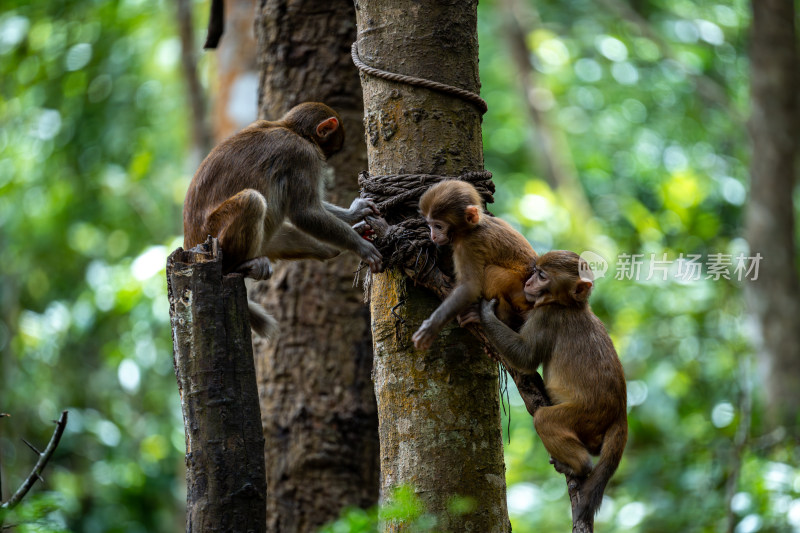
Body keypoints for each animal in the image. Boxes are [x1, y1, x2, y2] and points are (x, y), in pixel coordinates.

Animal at [183, 102, 382, 336]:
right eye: (330, 150)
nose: (327, 158)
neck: (291, 129)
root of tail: (190, 243)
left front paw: (356, 214)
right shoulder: (303, 155)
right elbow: (305, 213)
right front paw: (361, 247)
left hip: (267, 242)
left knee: (320, 248)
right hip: (215, 234)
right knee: (252, 200)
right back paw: (239, 266)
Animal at [412, 181, 536, 352]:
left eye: (438, 226)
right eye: (430, 225)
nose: (433, 236)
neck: (473, 228)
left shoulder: (468, 244)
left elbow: (469, 287)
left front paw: (432, 326)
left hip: (521, 292)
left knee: (491, 273)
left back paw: (501, 318)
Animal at [478, 251, 628, 520]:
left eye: (542, 276)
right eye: (535, 272)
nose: (528, 283)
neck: (571, 305)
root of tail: (620, 412)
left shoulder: (546, 316)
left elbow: (525, 356)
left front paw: (486, 313)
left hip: (586, 415)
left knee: (544, 420)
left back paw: (580, 466)